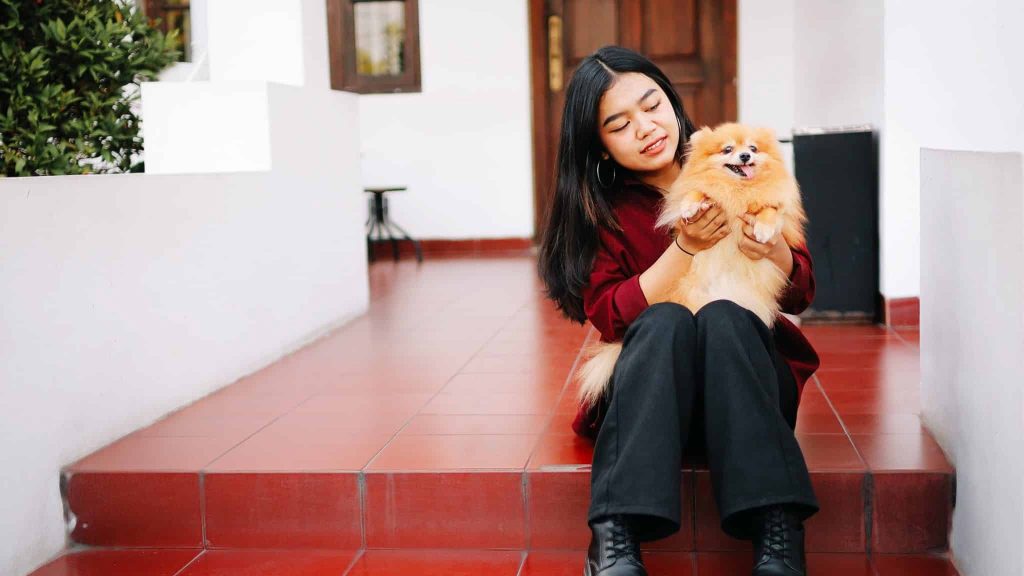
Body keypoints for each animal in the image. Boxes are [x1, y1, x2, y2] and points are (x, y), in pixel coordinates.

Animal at [577, 121, 806, 407]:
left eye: (753, 149)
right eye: (728, 149)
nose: (745, 156)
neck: (738, 190)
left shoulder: (778, 208)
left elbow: (770, 211)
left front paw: (763, 229)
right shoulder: (699, 190)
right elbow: (696, 191)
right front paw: (690, 206)